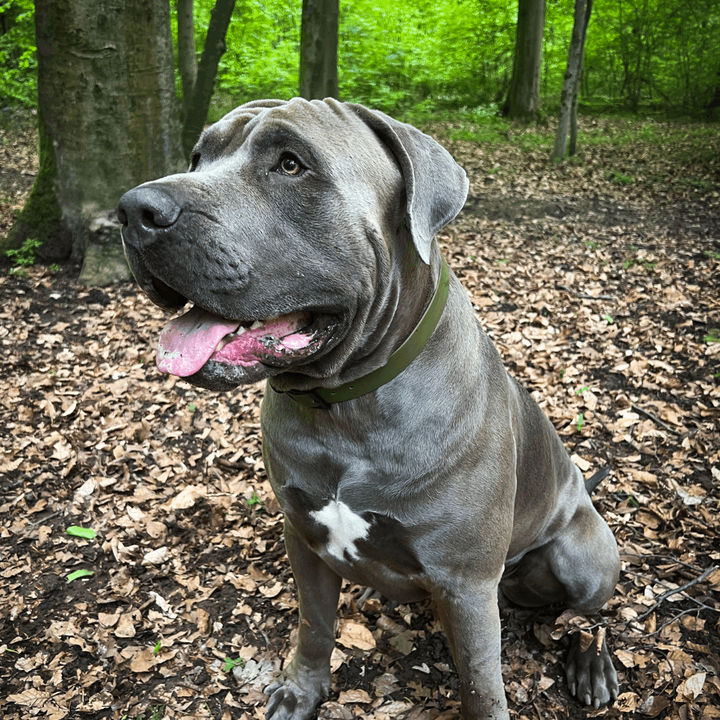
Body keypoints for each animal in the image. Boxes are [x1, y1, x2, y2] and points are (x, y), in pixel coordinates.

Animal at [116, 97, 620, 720]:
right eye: (197, 157)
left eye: (290, 163)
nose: (134, 209)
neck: (344, 410)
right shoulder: (303, 538)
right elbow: (314, 625)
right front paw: (302, 690)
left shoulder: (466, 584)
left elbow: (481, 684)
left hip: (585, 559)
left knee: (588, 617)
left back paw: (591, 665)